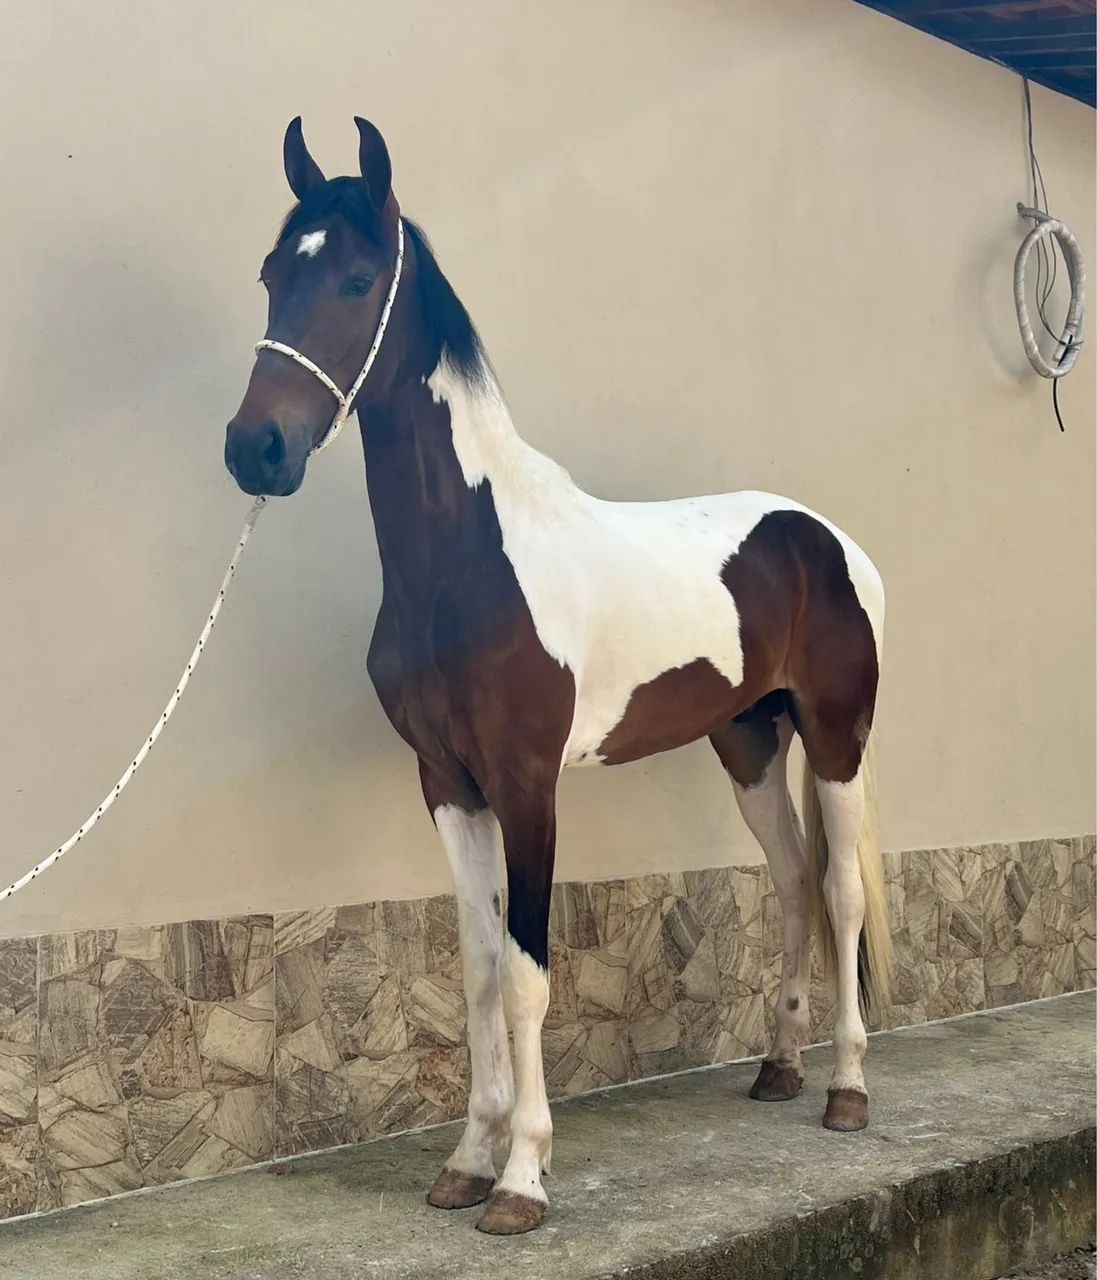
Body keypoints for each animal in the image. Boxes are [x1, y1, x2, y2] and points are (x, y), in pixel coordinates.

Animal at [224, 116, 892, 1236]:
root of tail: (826, 539)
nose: (254, 450)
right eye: (274, 274)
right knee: (792, 877)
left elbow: (530, 976)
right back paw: (778, 1068)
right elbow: (478, 971)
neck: (469, 561)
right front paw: (465, 1158)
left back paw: (846, 1088)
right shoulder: (449, 784)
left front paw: (522, 1177)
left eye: (359, 279)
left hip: (834, 736)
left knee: (839, 890)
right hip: (749, 744)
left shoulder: (528, 783)